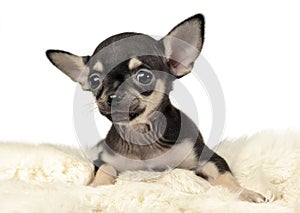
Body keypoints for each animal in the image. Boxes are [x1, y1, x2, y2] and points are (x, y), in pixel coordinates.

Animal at [45, 13, 266, 203]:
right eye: (94, 81)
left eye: (144, 77)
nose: (112, 96)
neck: (141, 135)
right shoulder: (104, 160)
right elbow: (104, 170)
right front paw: (93, 187)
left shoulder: (207, 157)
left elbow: (224, 176)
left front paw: (244, 193)